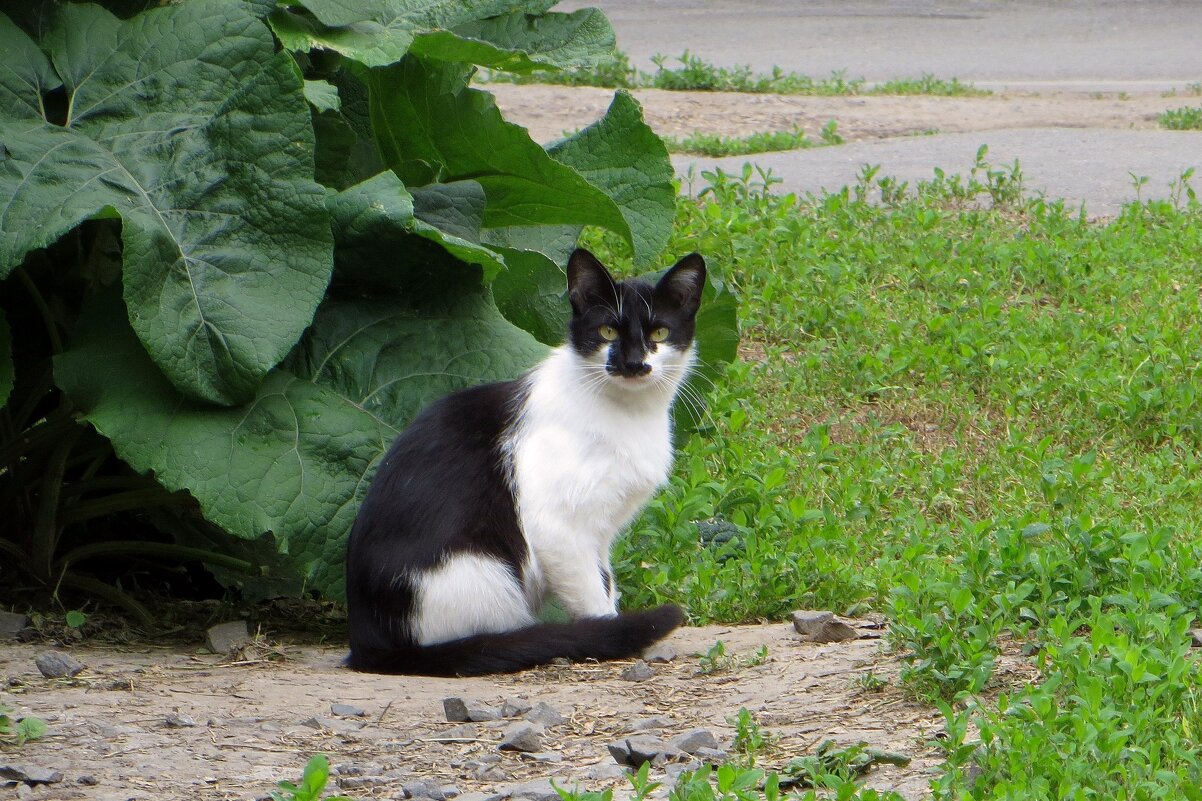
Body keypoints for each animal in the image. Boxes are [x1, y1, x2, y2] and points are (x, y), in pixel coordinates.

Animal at [343, 250, 701, 673]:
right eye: (608, 332)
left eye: (659, 333)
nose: (632, 363)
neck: (628, 414)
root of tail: (368, 643)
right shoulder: (557, 529)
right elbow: (593, 597)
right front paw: (614, 637)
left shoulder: (600, 534)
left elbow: (606, 581)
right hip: (485, 573)